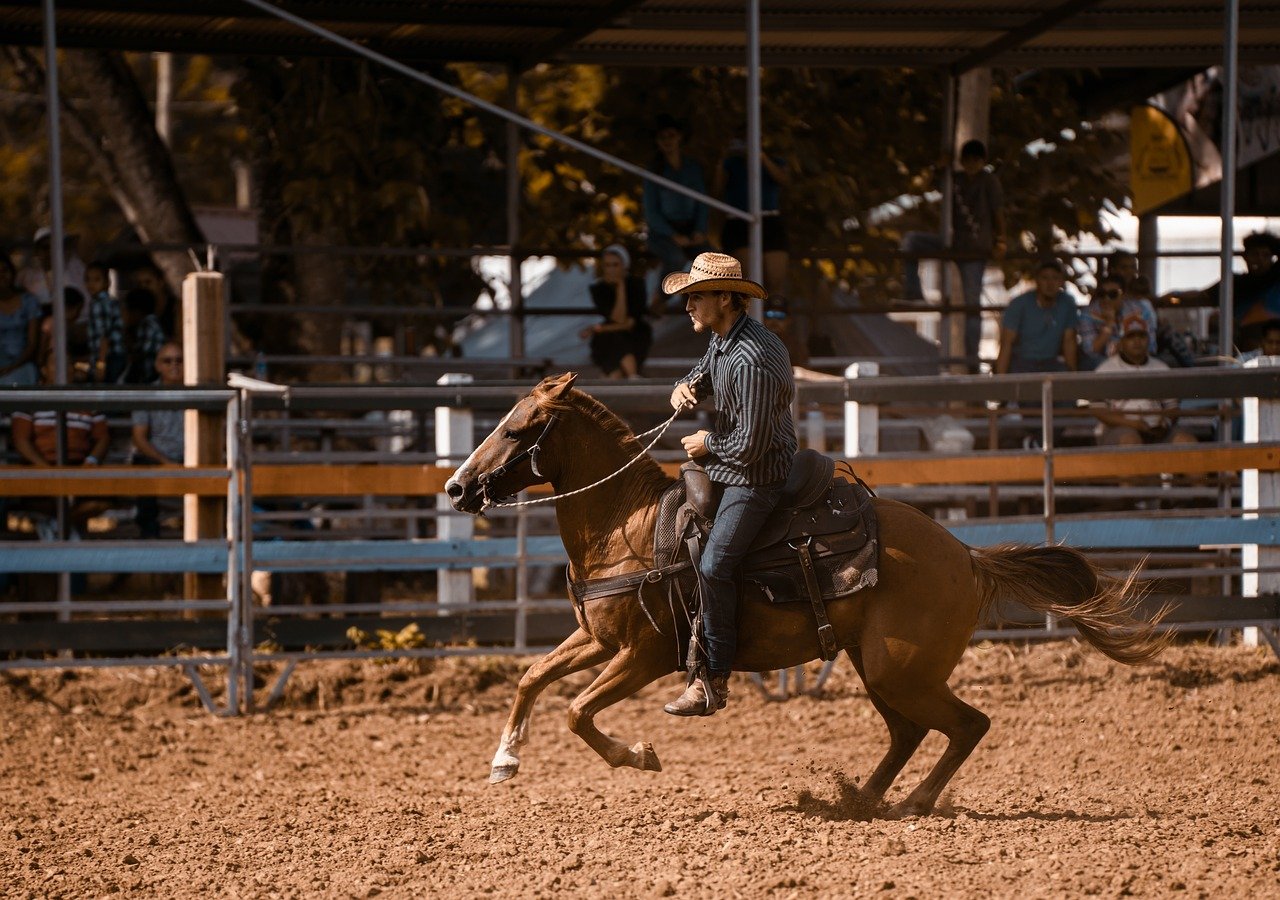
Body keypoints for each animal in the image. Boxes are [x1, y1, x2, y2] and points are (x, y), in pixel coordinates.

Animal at [442, 373, 1172, 819]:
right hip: (879, 667)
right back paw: (860, 800)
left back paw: (911, 804)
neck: (630, 523)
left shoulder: (641, 656)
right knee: (910, 731)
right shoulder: (598, 638)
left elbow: (575, 710)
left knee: (967, 725)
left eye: (516, 429)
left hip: (899, 670)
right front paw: (505, 759)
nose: (456, 487)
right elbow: (533, 678)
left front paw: (637, 755)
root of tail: (965, 555)